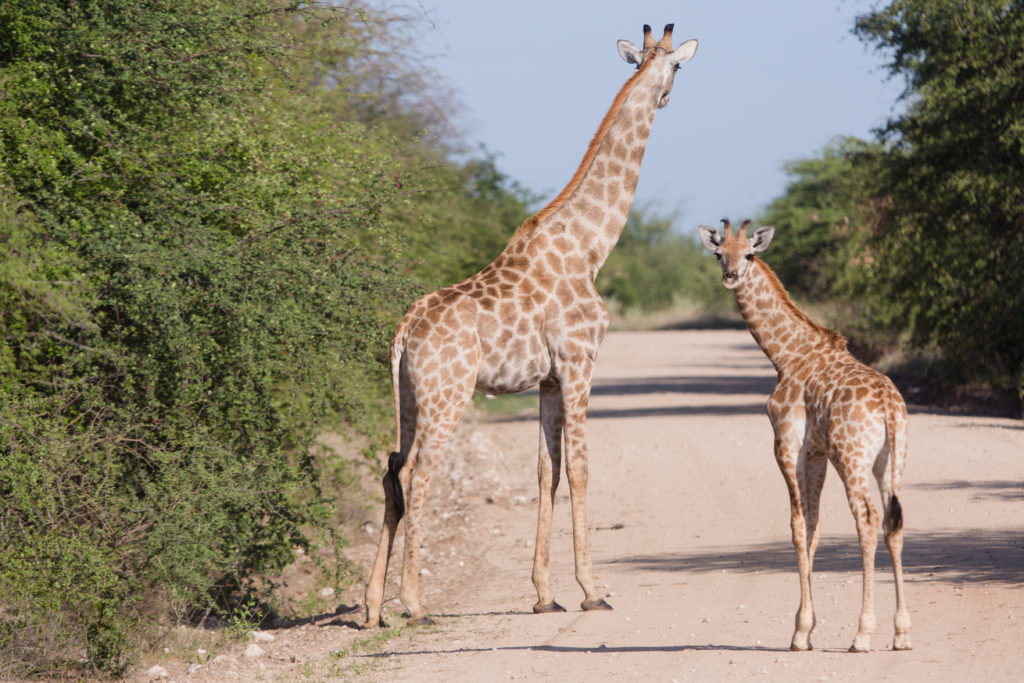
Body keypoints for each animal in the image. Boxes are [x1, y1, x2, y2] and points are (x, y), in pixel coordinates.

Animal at [360, 24, 696, 626]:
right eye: (677, 67)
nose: (665, 97)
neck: (591, 247)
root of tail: (403, 331)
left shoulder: (548, 379)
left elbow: (547, 470)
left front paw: (544, 594)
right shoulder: (581, 362)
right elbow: (581, 468)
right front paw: (591, 590)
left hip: (408, 397)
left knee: (391, 468)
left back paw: (372, 606)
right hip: (448, 394)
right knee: (418, 472)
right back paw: (414, 603)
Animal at [696, 222, 913, 655]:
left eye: (749, 254)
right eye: (718, 253)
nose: (730, 276)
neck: (786, 354)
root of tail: (888, 407)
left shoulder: (787, 444)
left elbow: (798, 527)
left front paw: (799, 632)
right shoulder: (815, 453)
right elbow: (814, 528)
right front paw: (808, 628)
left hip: (852, 457)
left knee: (867, 519)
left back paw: (862, 634)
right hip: (890, 460)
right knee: (893, 521)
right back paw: (901, 633)